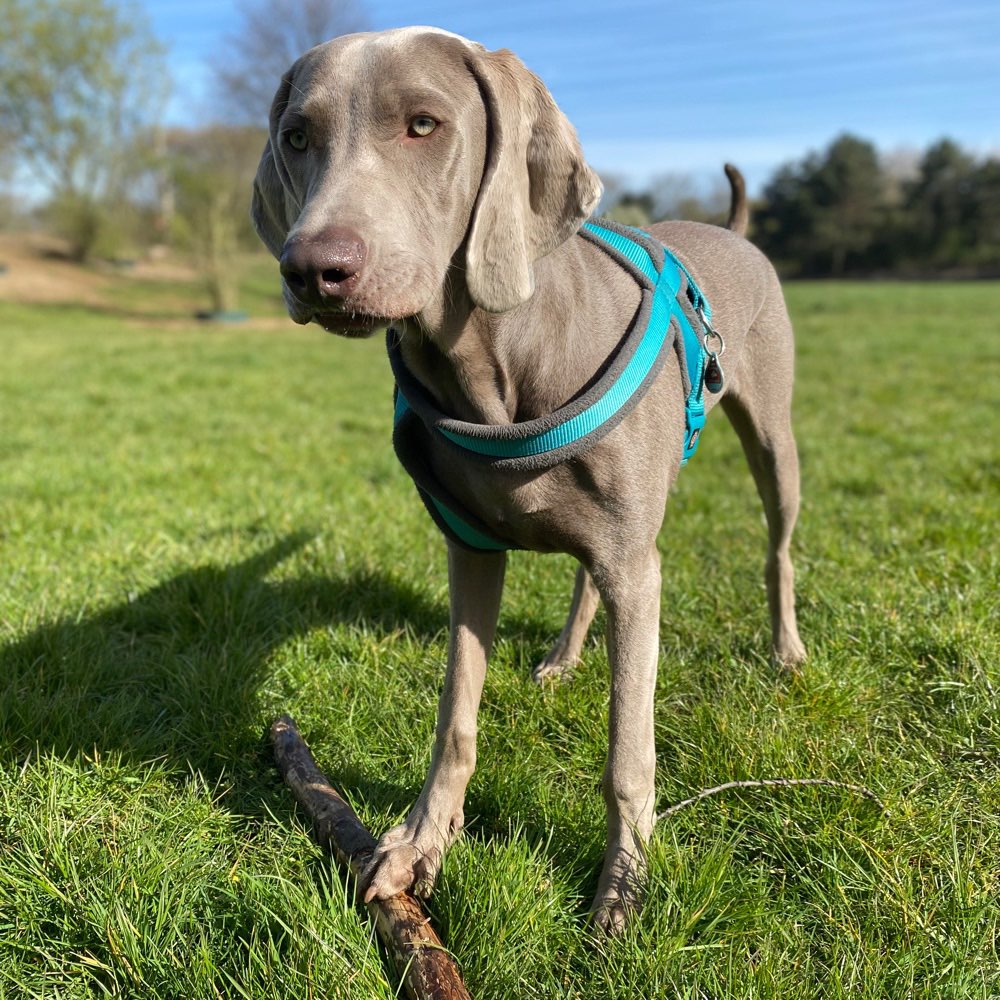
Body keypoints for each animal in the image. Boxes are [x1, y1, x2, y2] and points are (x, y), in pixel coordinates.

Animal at [254, 27, 808, 932]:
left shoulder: (638, 571)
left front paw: (622, 883)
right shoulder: (471, 550)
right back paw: (562, 657)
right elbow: (455, 719)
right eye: (297, 136)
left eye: (424, 124)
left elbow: (628, 751)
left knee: (778, 549)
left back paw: (786, 649)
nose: (312, 269)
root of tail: (729, 229)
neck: (498, 368)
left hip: (773, 443)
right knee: (590, 577)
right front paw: (419, 844)